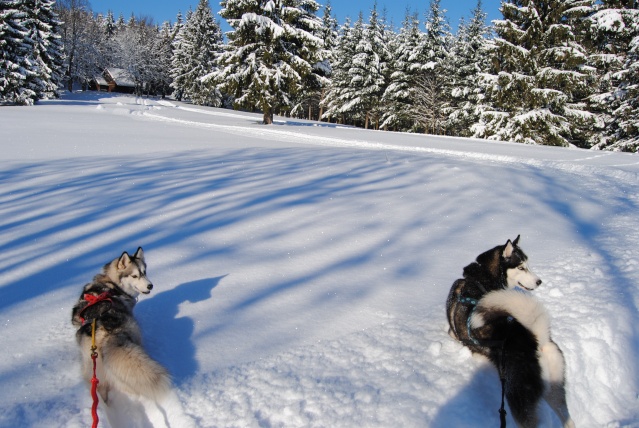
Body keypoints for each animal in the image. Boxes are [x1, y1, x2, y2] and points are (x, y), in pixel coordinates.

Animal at [71, 247, 171, 404]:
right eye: (135, 276)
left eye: (145, 272)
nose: (150, 285)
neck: (111, 283)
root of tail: (106, 331)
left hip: (93, 367)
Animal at [444, 237, 576, 428]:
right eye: (521, 267)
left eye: (528, 265)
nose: (539, 281)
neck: (479, 281)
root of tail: (537, 339)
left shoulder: (453, 333)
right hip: (555, 390)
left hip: (518, 396)